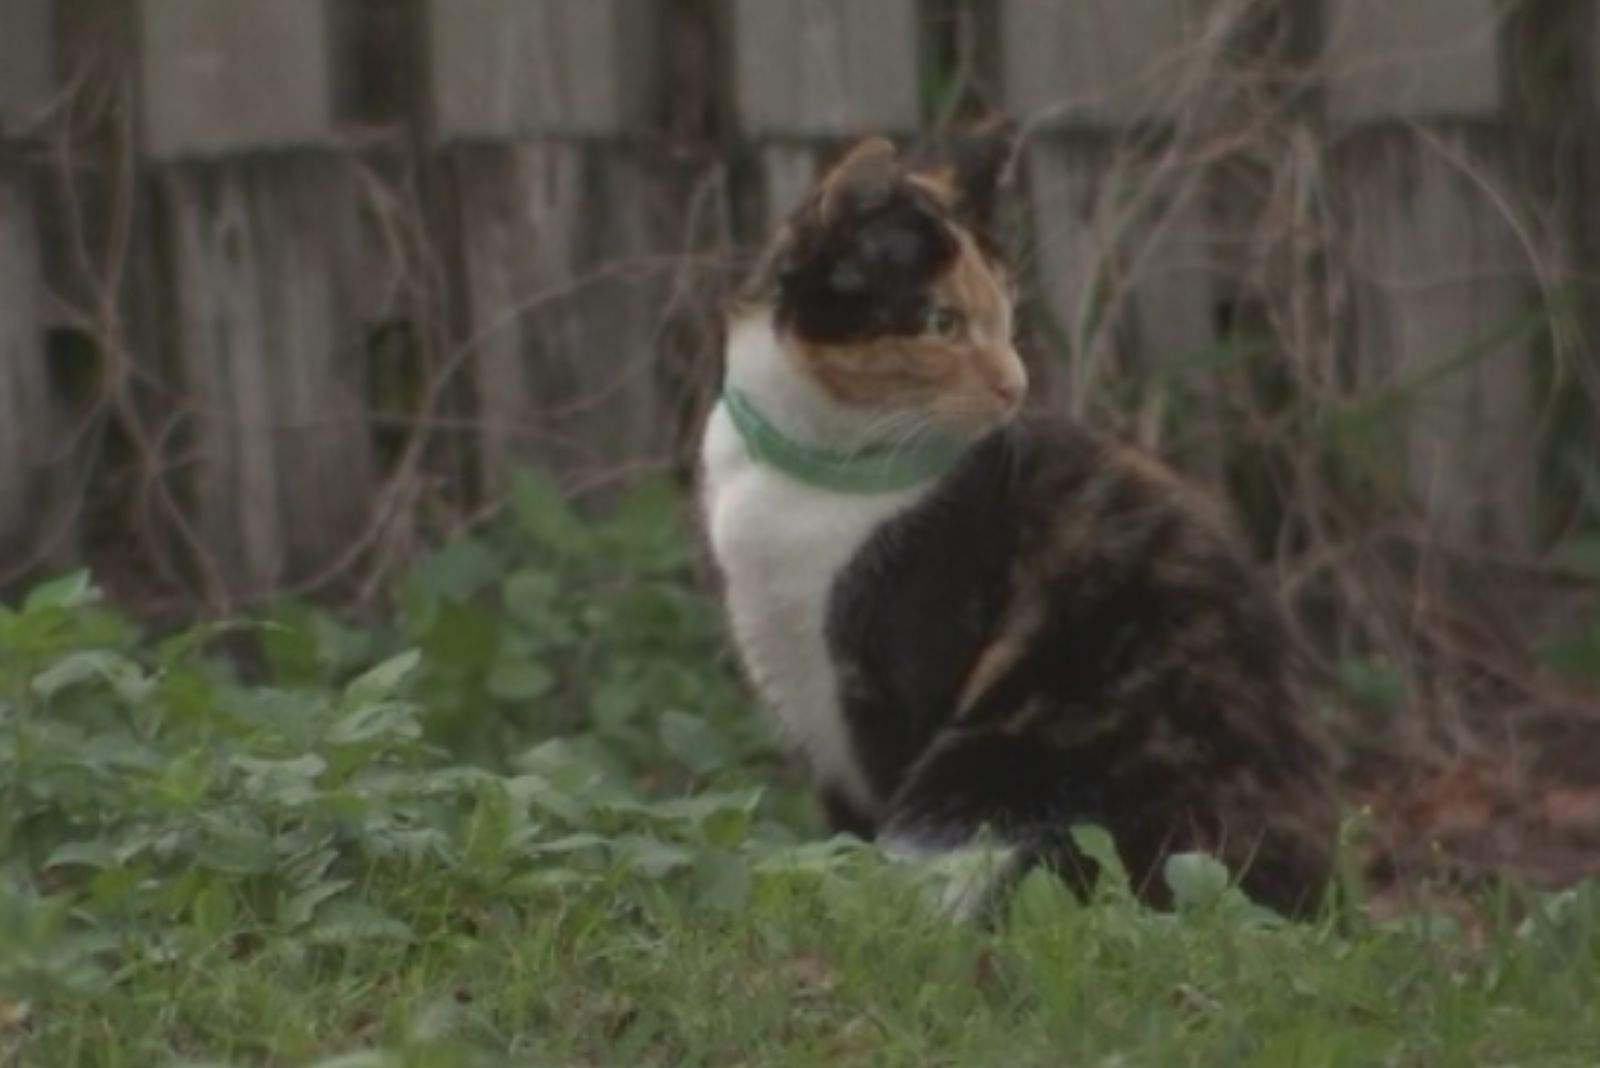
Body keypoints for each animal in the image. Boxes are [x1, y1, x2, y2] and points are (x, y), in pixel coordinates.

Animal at [700, 133, 1337, 920]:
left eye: (1006, 314)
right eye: (940, 322)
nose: (1017, 384)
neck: (805, 477)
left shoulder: (894, 689)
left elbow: (870, 831)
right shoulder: (807, 713)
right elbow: (840, 829)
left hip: (1012, 784)